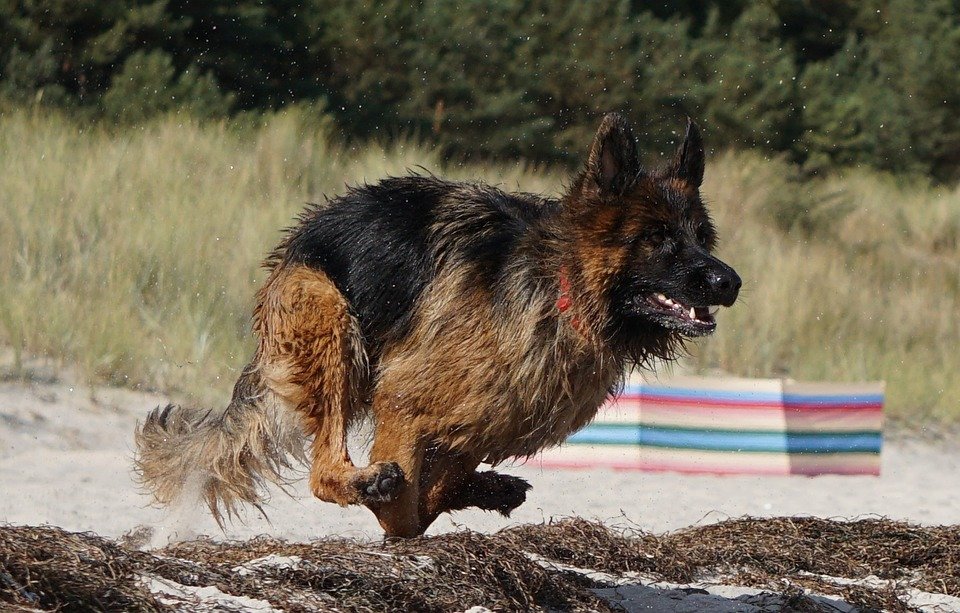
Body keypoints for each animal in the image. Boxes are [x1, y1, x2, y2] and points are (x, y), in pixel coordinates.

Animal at [133, 113, 736, 536]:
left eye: (702, 237)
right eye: (656, 238)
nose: (729, 281)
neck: (560, 288)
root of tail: (291, 249)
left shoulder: (477, 427)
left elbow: (432, 494)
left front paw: (479, 490)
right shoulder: (402, 401)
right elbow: (404, 514)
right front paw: (394, 504)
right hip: (332, 323)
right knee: (324, 473)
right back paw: (364, 480)